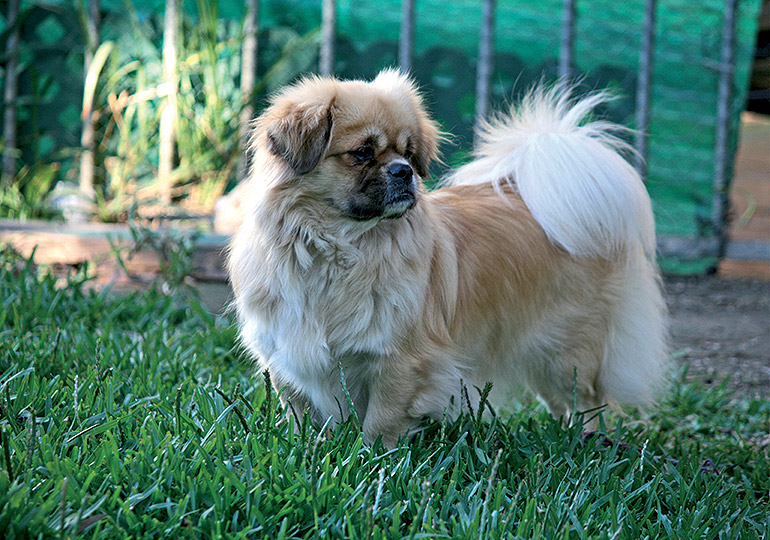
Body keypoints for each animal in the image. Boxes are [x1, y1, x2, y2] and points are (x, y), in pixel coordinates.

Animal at [228, 68, 664, 448]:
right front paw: (312, 450)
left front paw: (370, 458)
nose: (404, 171)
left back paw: (589, 442)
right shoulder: (289, 359)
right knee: (562, 403)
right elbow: (302, 417)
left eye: (408, 153)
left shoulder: (401, 363)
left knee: (587, 401)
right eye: (362, 153)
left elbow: (381, 423)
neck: (338, 248)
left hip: (566, 354)